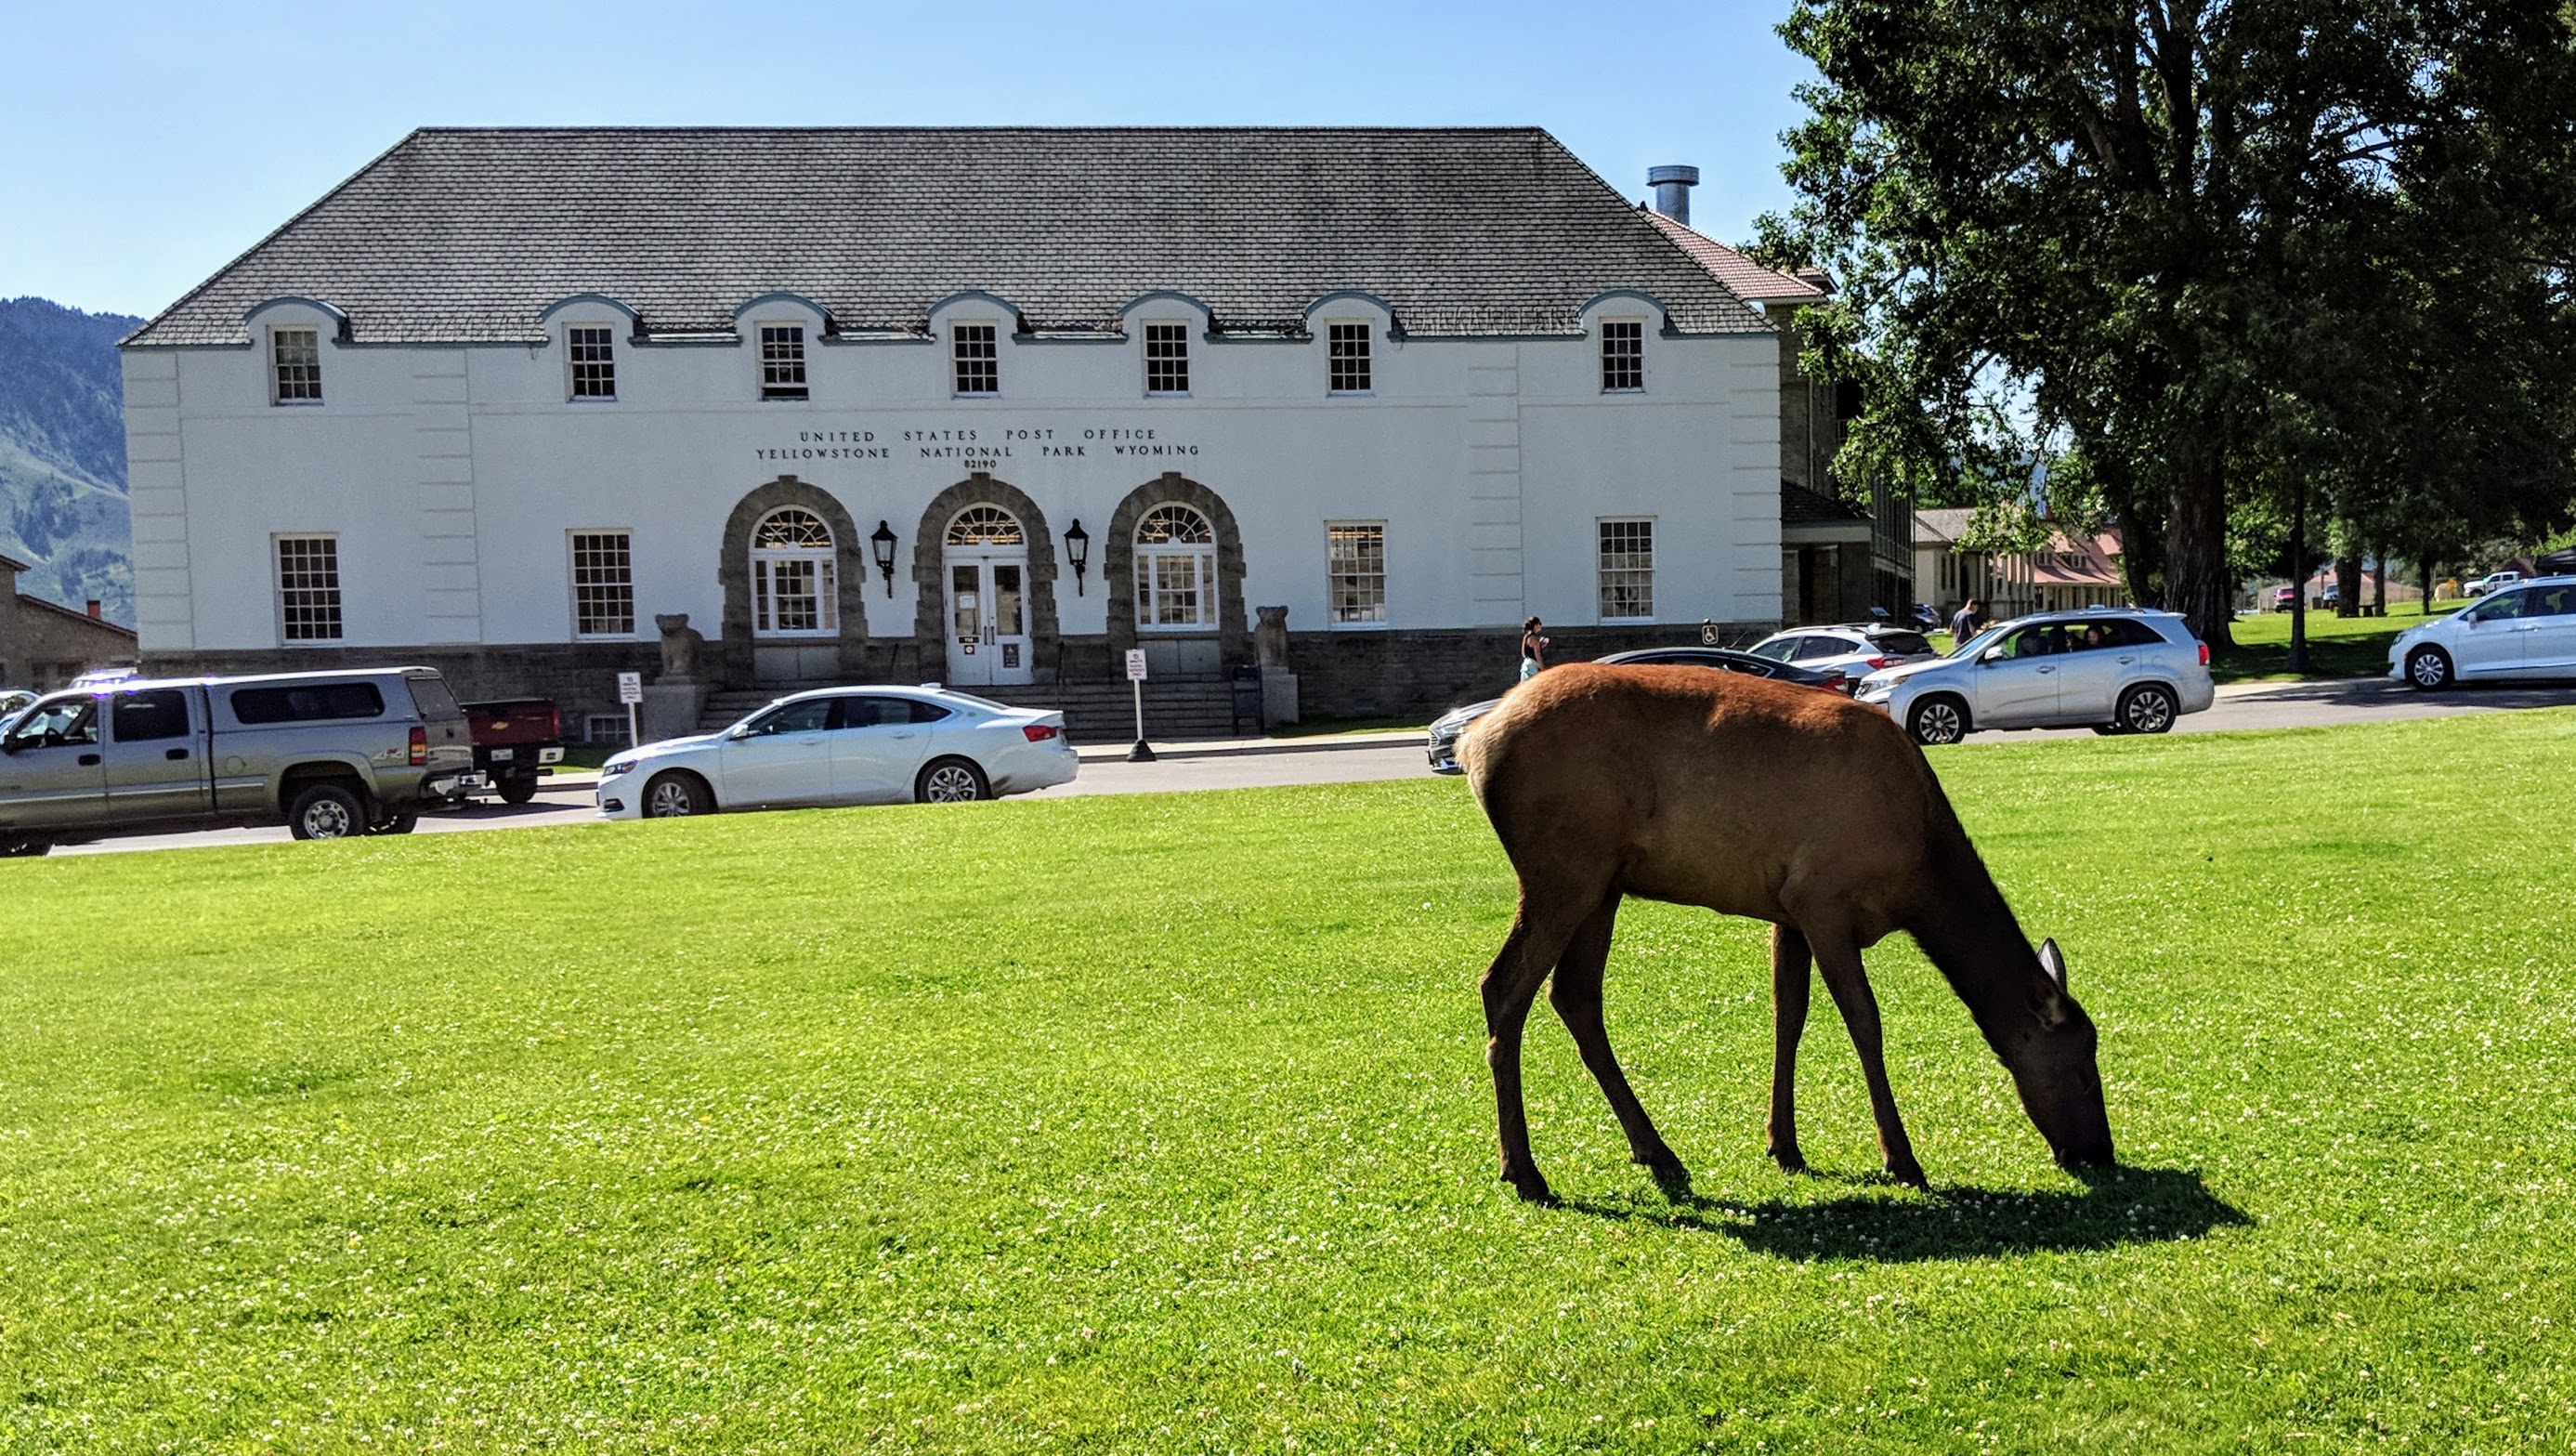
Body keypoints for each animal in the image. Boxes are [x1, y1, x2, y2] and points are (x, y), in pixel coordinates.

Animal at [1458, 663, 2114, 1203]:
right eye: (2084, 1067)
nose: (2101, 1154)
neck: (1920, 870)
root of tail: (1472, 743)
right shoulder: (1823, 898)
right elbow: (1864, 1021)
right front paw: (1901, 1159)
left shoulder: (1788, 912)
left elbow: (1788, 1016)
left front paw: (1786, 1146)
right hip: (1562, 868)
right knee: (1503, 987)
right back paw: (1525, 1171)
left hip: (1602, 882)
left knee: (1574, 995)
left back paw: (1657, 1152)